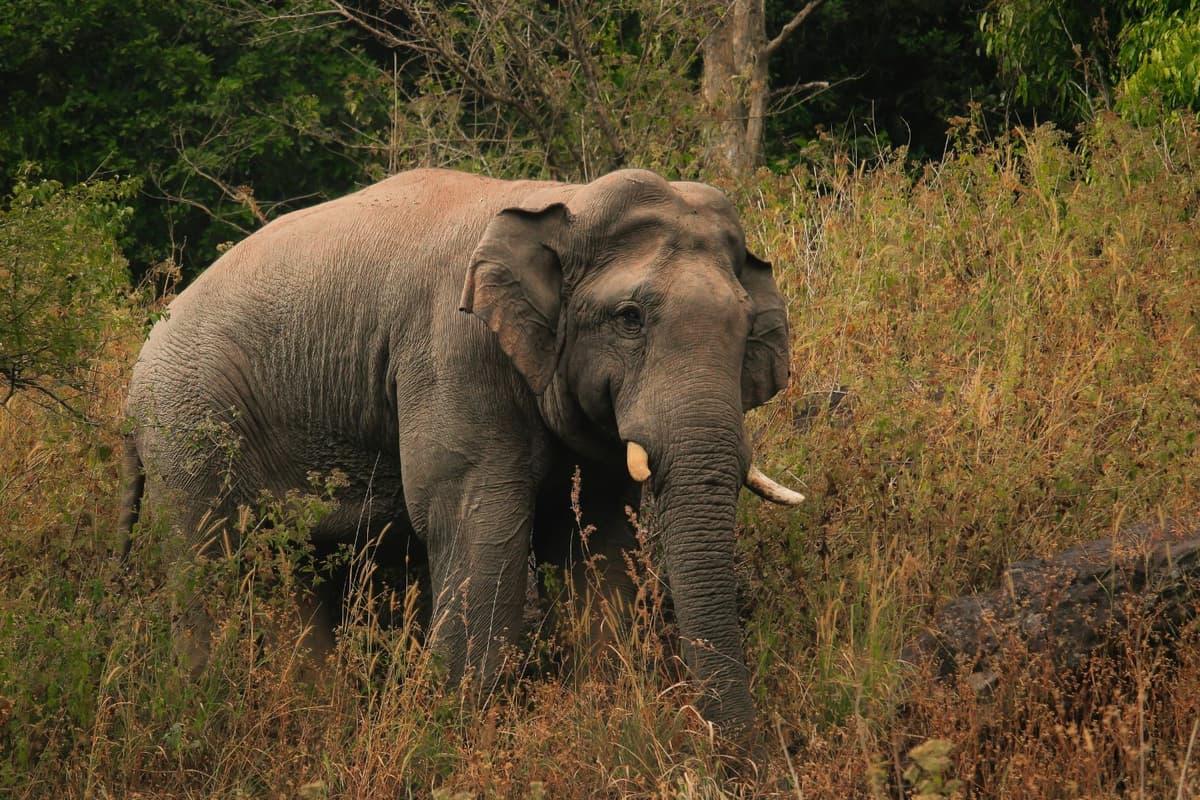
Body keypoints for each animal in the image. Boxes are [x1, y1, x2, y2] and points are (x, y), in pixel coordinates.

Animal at [120, 167, 803, 734]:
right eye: (629, 317)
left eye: (747, 327)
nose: (737, 758)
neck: (564, 202)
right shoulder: (455, 353)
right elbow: (479, 525)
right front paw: (451, 730)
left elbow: (599, 536)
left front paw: (605, 719)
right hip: (187, 423)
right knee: (209, 561)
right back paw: (204, 712)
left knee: (300, 571)